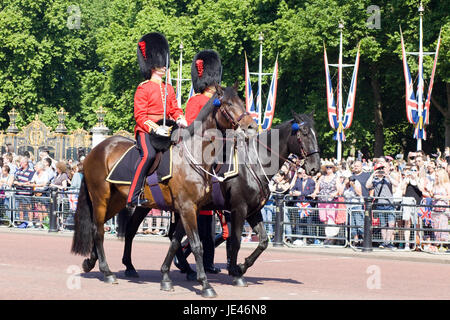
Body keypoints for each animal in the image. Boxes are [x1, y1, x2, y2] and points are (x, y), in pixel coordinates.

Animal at [70, 85, 256, 298]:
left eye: (241, 101)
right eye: (229, 104)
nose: (252, 126)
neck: (194, 157)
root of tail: (95, 150)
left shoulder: (189, 209)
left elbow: (175, 242)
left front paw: (166, 277)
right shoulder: (187, 208)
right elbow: (197, 245)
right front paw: (205, 284)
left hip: (116, 201)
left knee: (106, 228)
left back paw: (95, 262)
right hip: (101, 197)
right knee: (98, 230)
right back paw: (107, 271)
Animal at [119, 110, 320, 288]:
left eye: (315, 133)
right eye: (303, 133)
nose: (315, 168)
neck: (254, 164)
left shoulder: (252, 211)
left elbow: (263, 241)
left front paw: (241, 266)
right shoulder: (239, 209)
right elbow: (236, 241)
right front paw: (236, 272)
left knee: (172, 236)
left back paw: (183, 267)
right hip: (149, 205)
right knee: (133, 230)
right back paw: (132, 266)